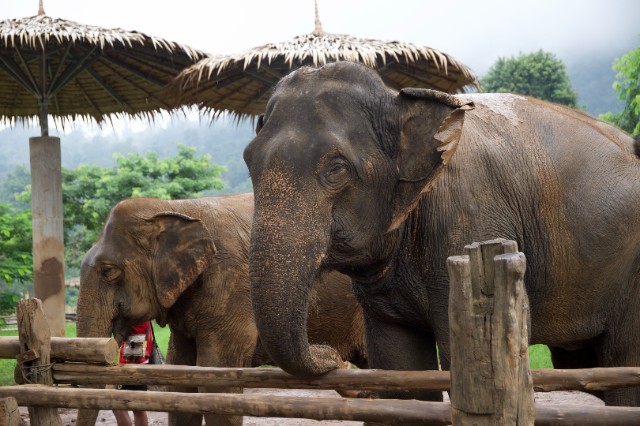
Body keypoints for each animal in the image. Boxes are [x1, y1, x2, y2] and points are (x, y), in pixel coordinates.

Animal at [75, 193, 367, 426]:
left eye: (108, 271)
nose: (336, 358)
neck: (178, 207)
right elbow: (181, 381)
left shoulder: (232, 283)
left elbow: (217, 383)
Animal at [243, 61, 640, 409]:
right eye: (249, 162)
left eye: (336, 168)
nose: (331, 356)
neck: (397, 100)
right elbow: (399, 368)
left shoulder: (472, 225)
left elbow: (456, 353)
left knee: (622, 365)